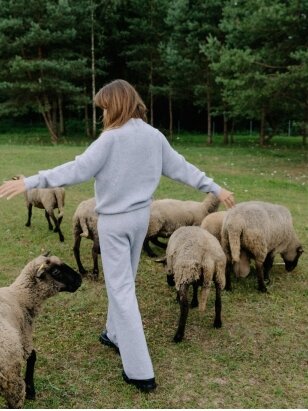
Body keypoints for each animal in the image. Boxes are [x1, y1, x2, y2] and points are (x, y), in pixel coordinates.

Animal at [0, 254, 82, 408]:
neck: (21, 296)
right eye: (56, 272)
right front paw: (31, 391)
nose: (80, 279)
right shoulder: (24, 338)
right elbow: (32, 355)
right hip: (11, 376)